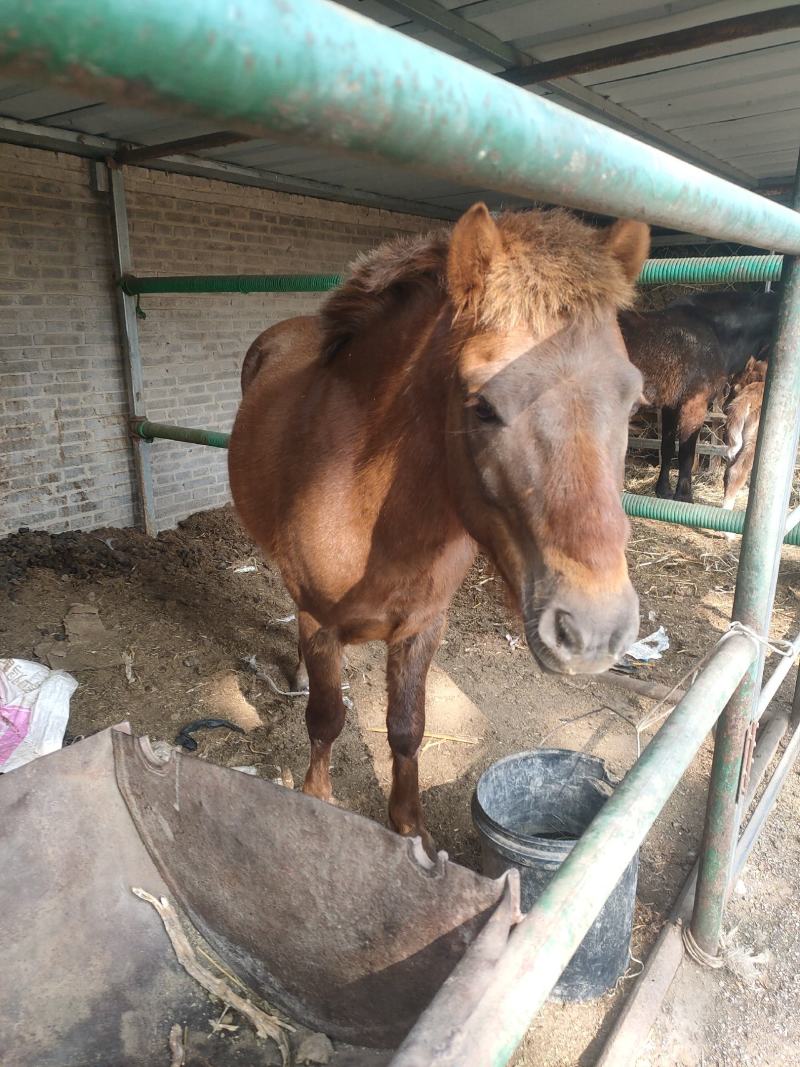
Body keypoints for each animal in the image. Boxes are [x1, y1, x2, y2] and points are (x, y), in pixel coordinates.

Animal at [228, 203, 649, 850]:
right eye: (482, 405)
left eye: (633, 402)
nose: (595, 629)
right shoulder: (323, 624)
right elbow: (326, 718)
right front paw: (317, 800)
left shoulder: (423, 625)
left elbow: (407, 727)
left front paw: (410, 829)